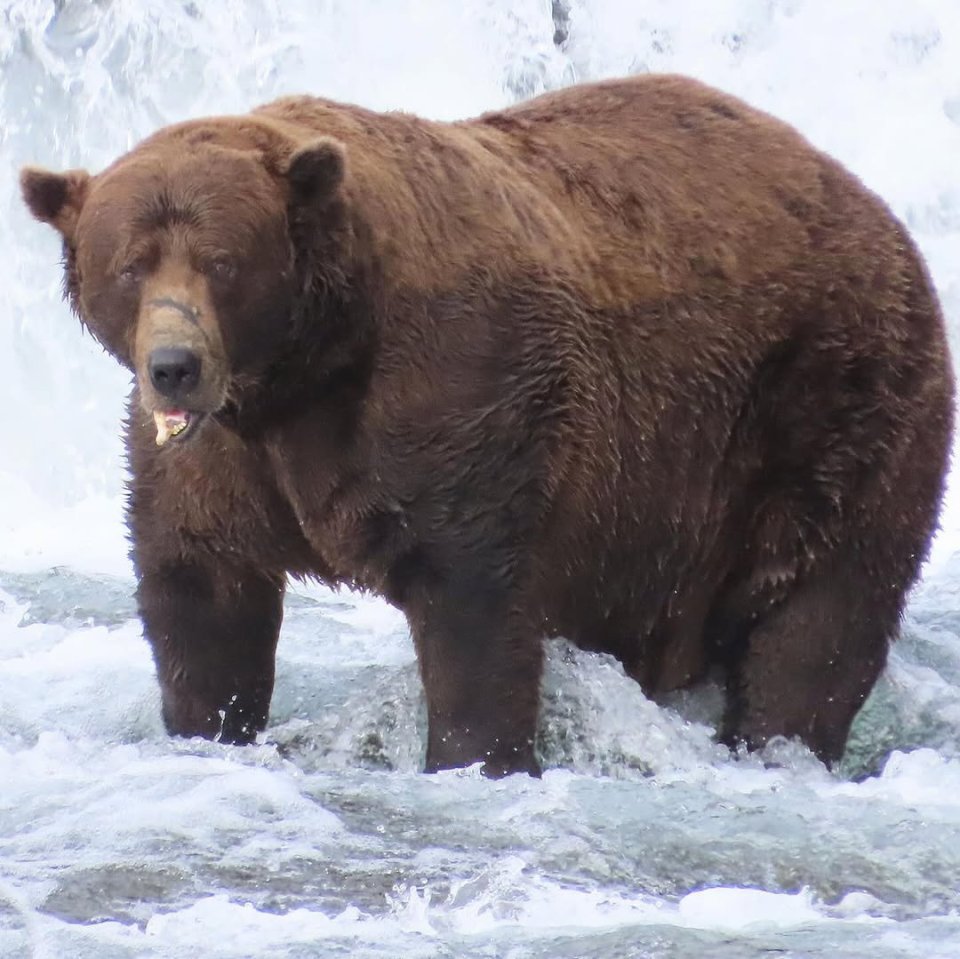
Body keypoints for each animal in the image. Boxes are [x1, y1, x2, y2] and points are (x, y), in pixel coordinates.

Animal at [21, 74, 953, 778]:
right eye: (130, 264)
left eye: (222, 262)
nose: (175, 364)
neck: (305, 370)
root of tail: (871, 203)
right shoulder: (219, 458)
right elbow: (201, 588)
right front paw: (209, 724)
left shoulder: (459, 394)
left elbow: (472, 599)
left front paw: (475, 756)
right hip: (666, 511)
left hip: (831, 399)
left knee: (822, 611)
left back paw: (779, 741)